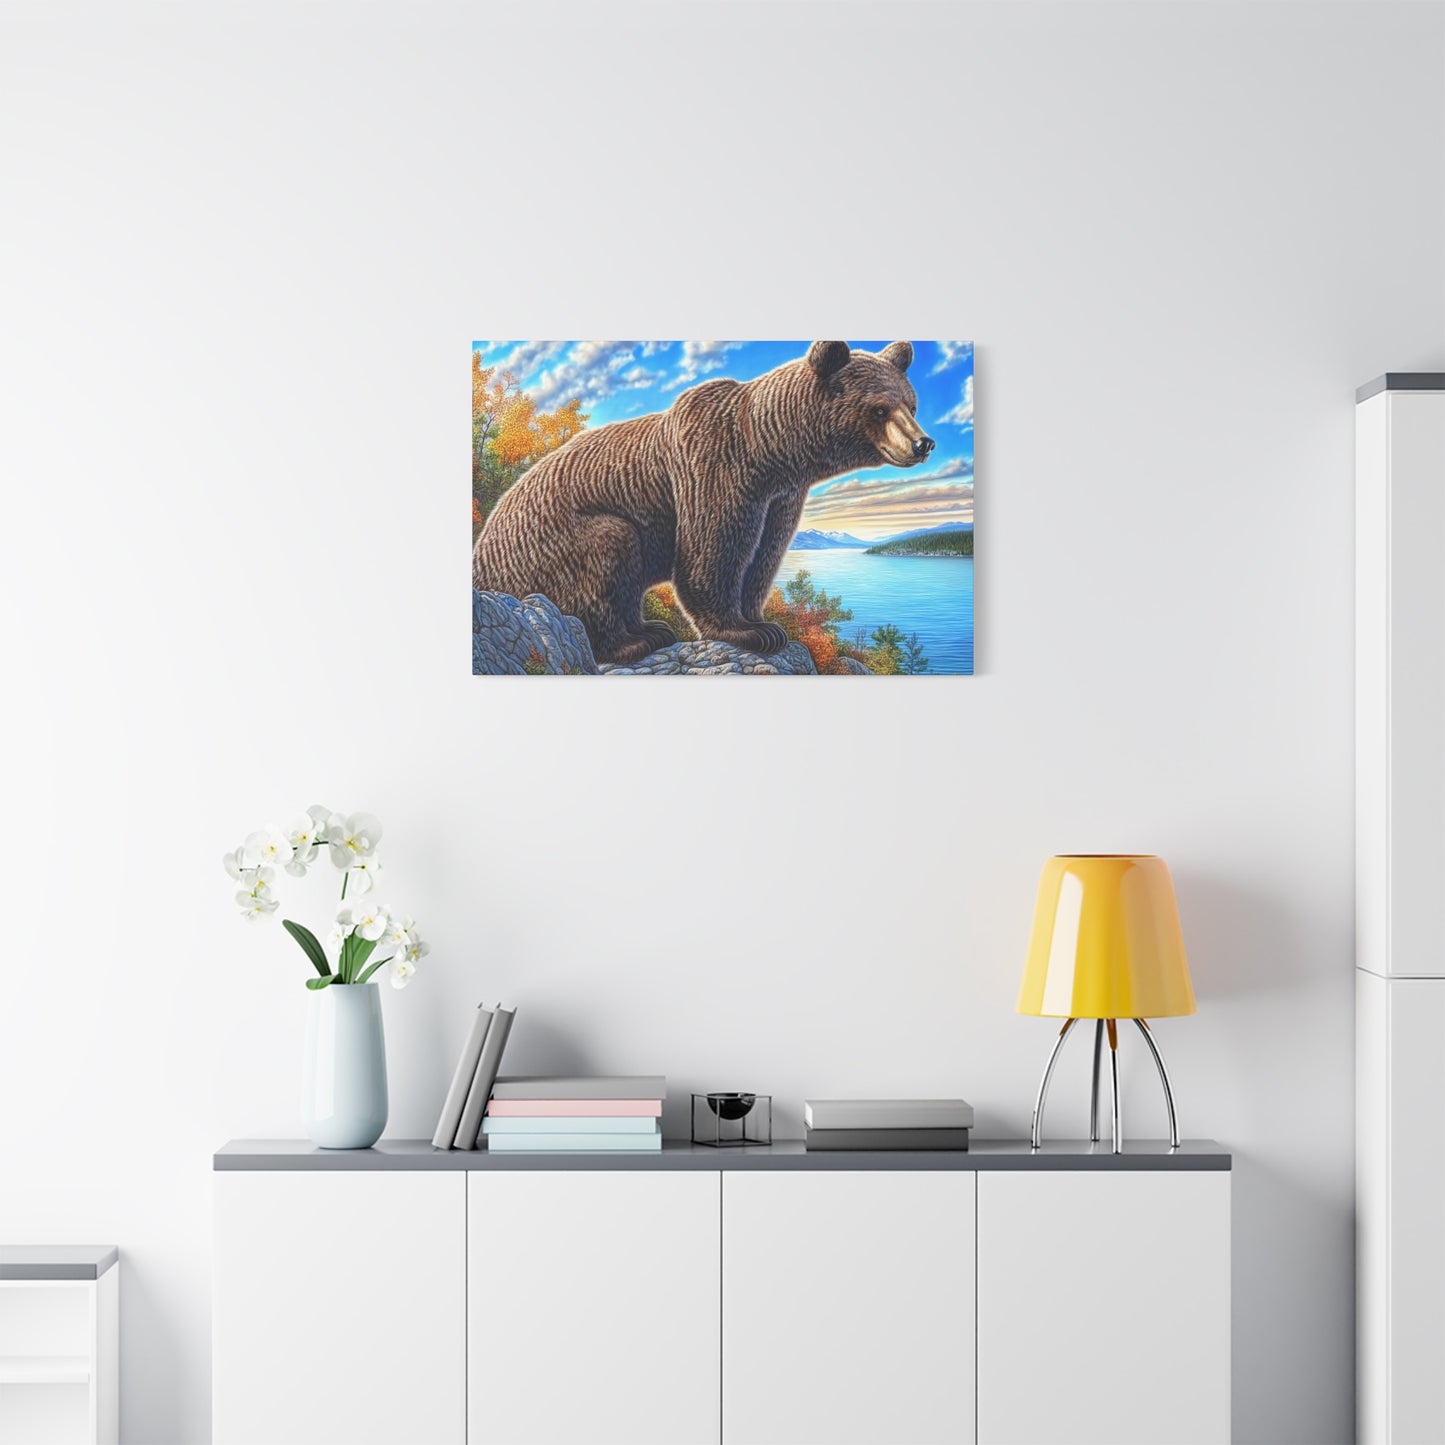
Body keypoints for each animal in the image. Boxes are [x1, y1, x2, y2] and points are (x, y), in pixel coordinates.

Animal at [471, 340, 935, 666]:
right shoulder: (713, 467)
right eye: (879, 409)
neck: (770, 450)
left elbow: (765, 555)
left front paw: (762, 622)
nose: (923, 443)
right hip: (549, 545)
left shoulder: (780, 497)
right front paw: (741, 631)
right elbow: (712, 549)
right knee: (606, 554)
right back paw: (633, 641)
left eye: (911, 405)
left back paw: (651, 628)